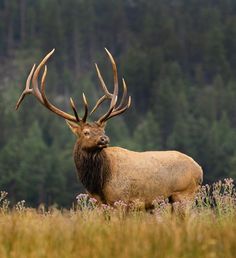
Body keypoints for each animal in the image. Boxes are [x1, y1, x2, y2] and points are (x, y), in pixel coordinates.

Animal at [16, 49, 203, 209]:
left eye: (103, 131)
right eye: (86, 132)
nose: (104, 139)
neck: (98, 181)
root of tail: (199, 169)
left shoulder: (120, 200)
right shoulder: (100, 203)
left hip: (184, 195)